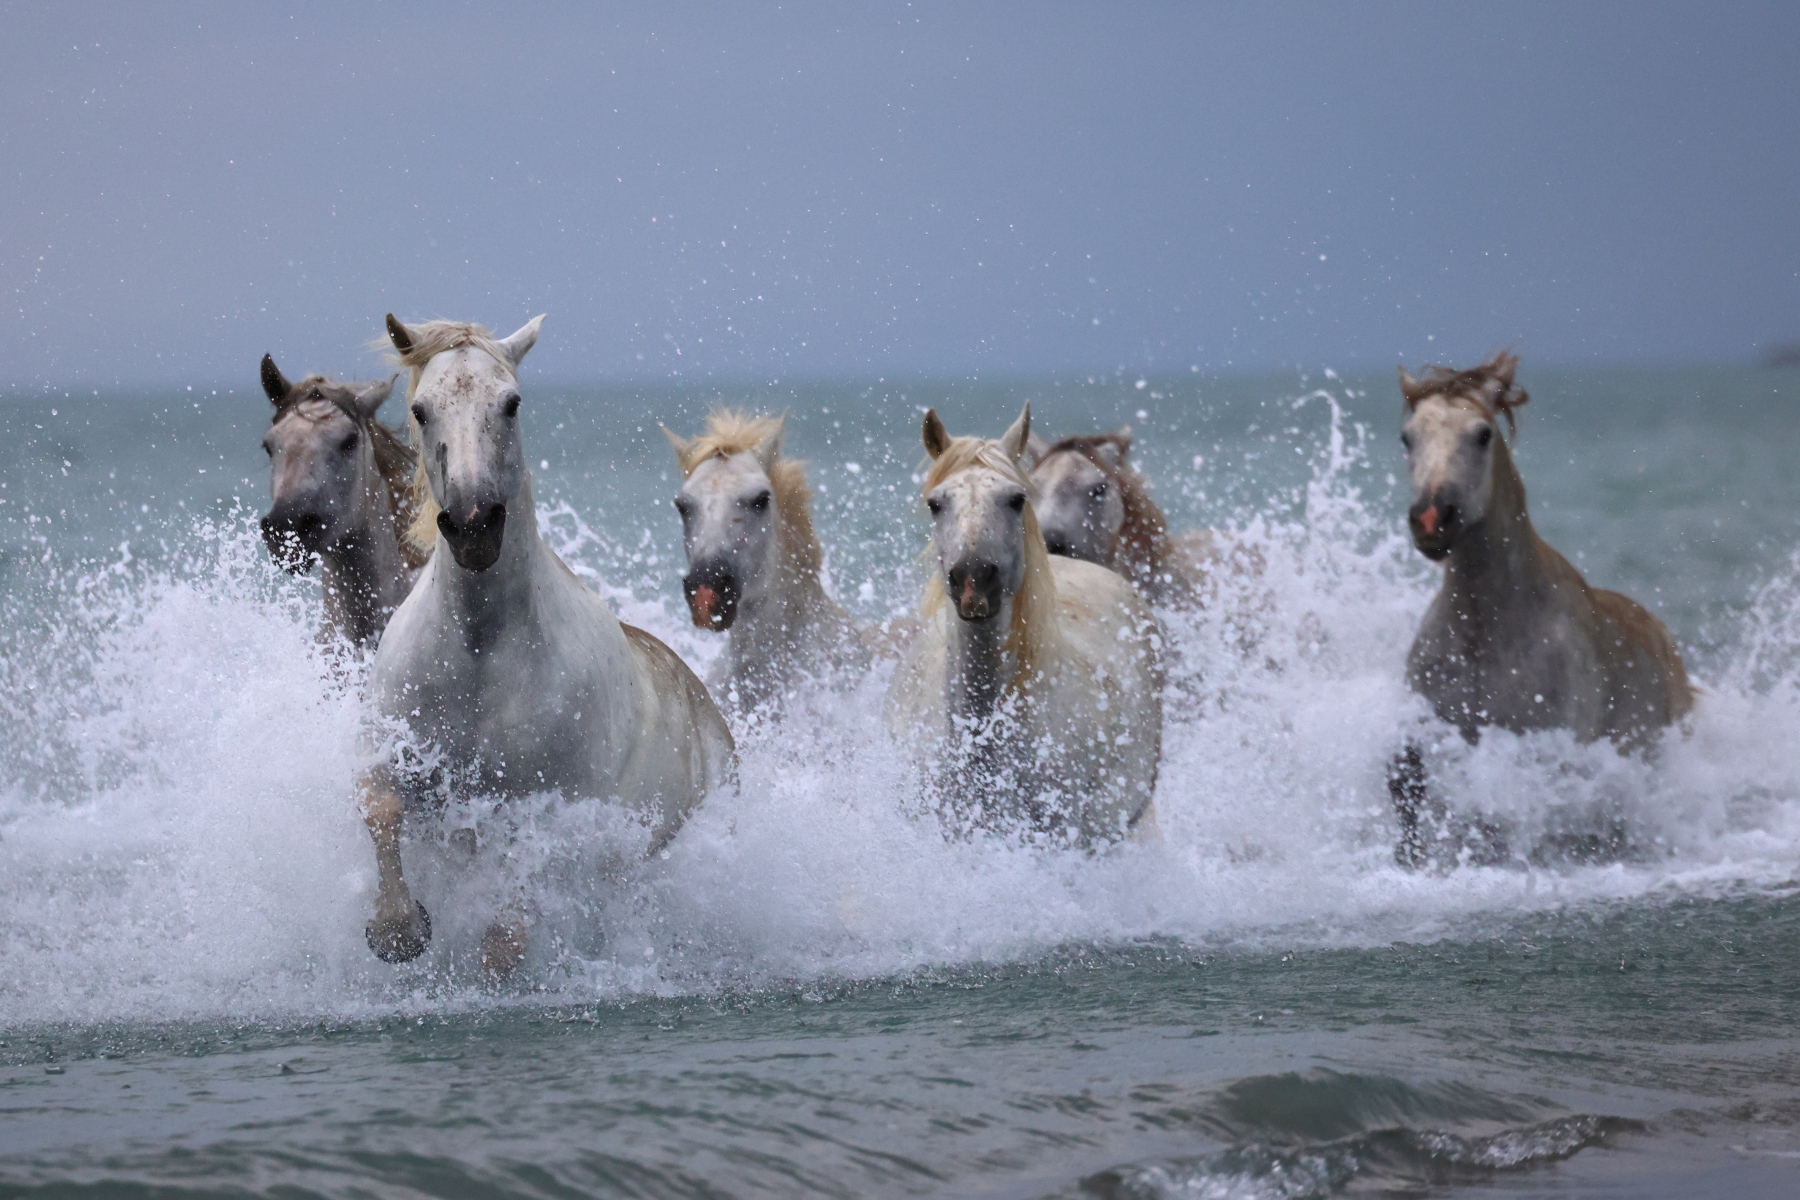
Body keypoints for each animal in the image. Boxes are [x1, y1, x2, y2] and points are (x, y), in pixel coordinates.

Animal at [357, 314, 734, 973]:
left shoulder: (548, 816)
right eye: (422, 410)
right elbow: (382, 809)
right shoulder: (390, 758)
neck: (479, 655)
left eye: (511, 404)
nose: (474, 524)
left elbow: (505, 941)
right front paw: (398, 929)